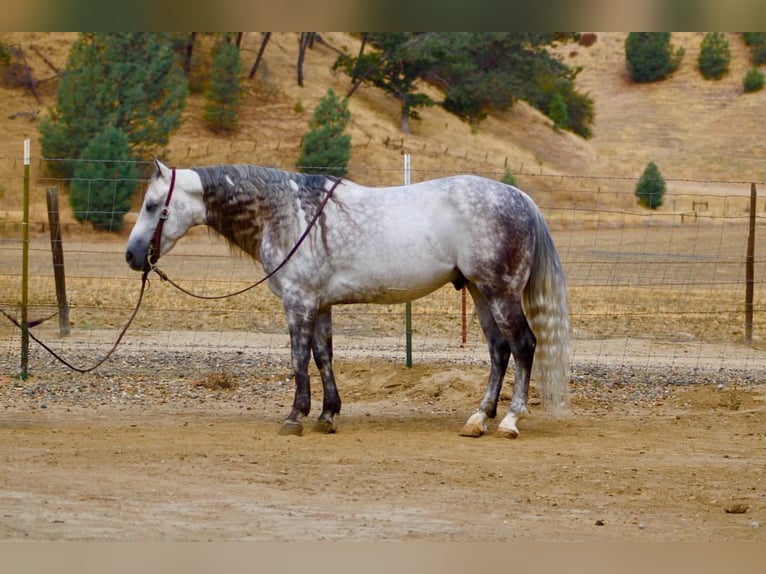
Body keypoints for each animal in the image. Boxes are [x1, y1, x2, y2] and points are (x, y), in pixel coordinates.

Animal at [126, 159, 570, 438]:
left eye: (152, 205)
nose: (132, 256)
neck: (287, 213)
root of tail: (518, 196)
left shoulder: (299, 302)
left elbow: (299, 358)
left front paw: (296, 416)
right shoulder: (320, 305)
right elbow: (323, 356)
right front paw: (327, 414)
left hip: (501, 292)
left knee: (524, 346)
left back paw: (510, 420)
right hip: (480, 292)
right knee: (499, 350)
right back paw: (479, 418)